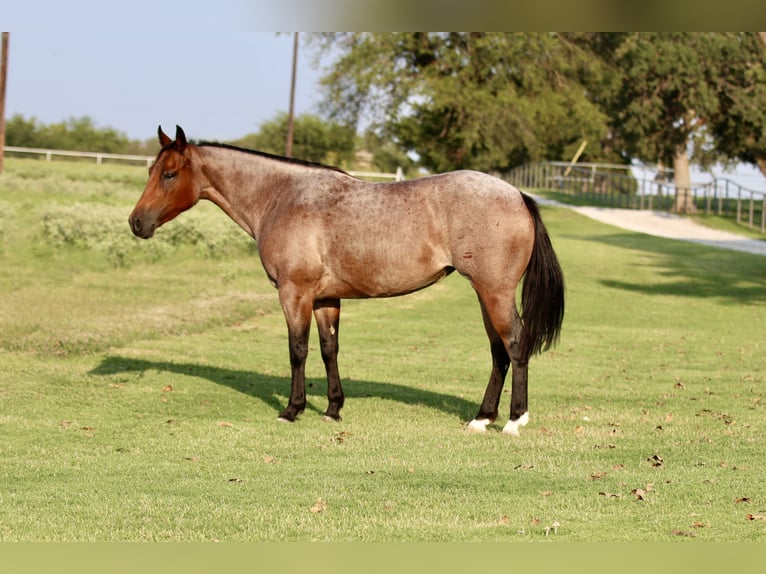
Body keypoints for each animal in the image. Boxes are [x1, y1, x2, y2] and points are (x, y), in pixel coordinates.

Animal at [129, 126, 565, 435]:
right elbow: (329, 350)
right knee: (497, 352)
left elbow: (298, 351)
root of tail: (518, 195)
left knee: (514, 344)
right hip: (485, 294)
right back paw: (482, 418)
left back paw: (514, 421)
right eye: (151, 171)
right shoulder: (325, 299)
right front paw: (333, 409)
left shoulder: (295, 294)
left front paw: (292, 410)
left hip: (495, 292)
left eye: (169, 174)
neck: (283, 197)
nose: (136, 222)